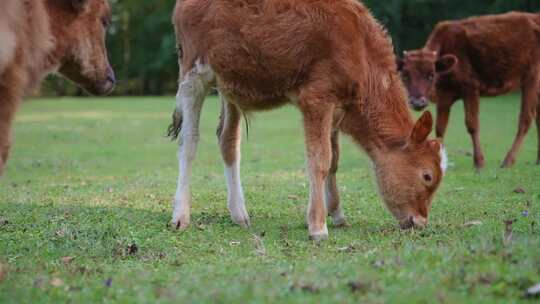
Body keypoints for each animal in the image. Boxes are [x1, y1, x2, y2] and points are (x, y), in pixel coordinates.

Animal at [170, 0, 448, 240]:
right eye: (427, 176)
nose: (421, 222)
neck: (361, 49)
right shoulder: (317, 98)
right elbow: (320, 160)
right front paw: (317, 226)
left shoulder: (337, 107)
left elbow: (334, 160)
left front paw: (337, 214)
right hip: (194, 72)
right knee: (189, 142)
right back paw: (181, 215)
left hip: (229, 83)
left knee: (228, 140)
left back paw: (239, 213)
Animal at [396, 11, 540, 169]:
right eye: (405, 75)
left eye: (431, 75)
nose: (417, 102)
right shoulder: (444, 96)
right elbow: (440, 127)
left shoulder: (470, 89)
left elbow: (472, 124)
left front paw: (479, 162)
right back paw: (537, 160)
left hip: (531, 79)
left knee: (526, 118)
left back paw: (508, 161)